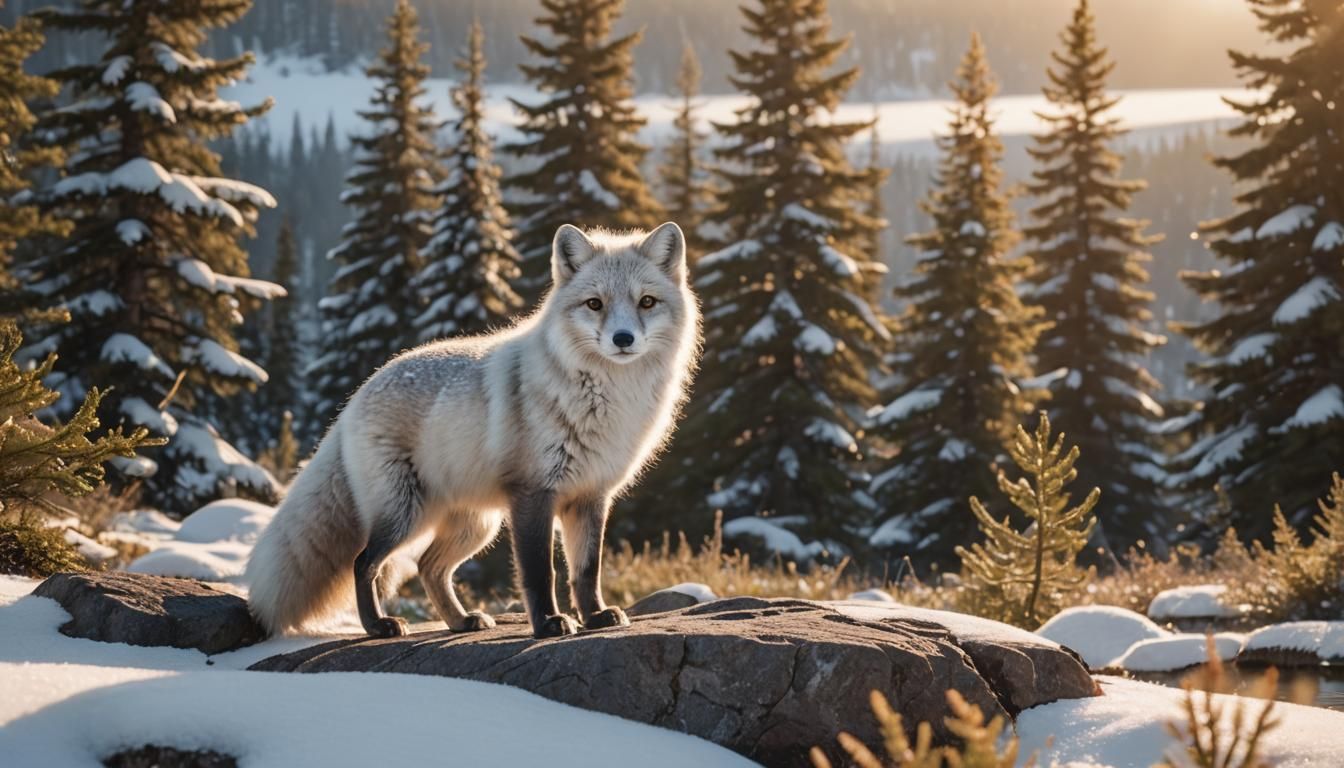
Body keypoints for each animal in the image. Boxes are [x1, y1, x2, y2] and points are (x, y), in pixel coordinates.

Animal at [245, 222, 700, 639]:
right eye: (594, 304)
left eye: (646, 302)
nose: (623, 339)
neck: (604, 399)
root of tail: (355, 397)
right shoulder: (534, 493)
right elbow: (540, 573)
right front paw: (548, 624)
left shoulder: (590, 496)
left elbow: (586, 571)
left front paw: (595, 618)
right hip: (405, 514)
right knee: (365, 562)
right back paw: (378, 626)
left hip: (475, 525)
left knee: (429, 567)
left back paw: (460, 621)